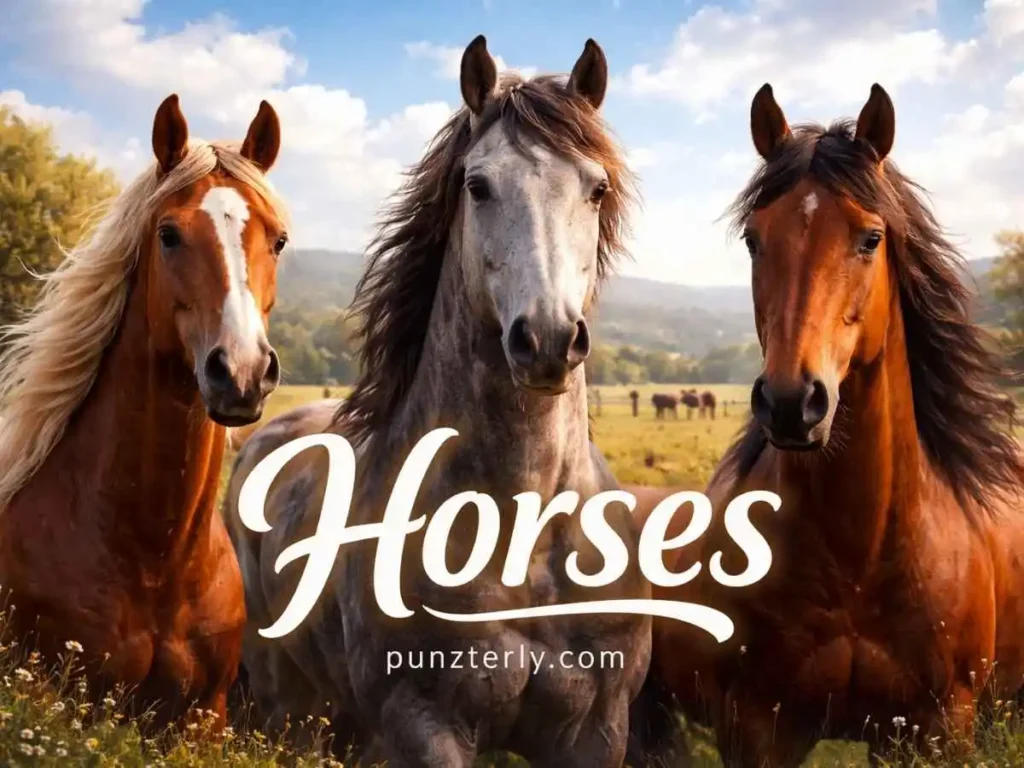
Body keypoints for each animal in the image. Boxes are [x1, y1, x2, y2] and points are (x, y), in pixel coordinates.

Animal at [225, 36, 652, 767]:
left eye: (596, 188)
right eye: (478, 186)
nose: (547, 338)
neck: (524, 534)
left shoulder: (597, 729)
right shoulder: (422, 723)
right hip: (287, 699)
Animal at [631, 83, 1024, 767]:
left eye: (870, 238)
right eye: (754, 239)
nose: (792, 403)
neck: (857, 559)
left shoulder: (934, 730)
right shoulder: (757, 727)